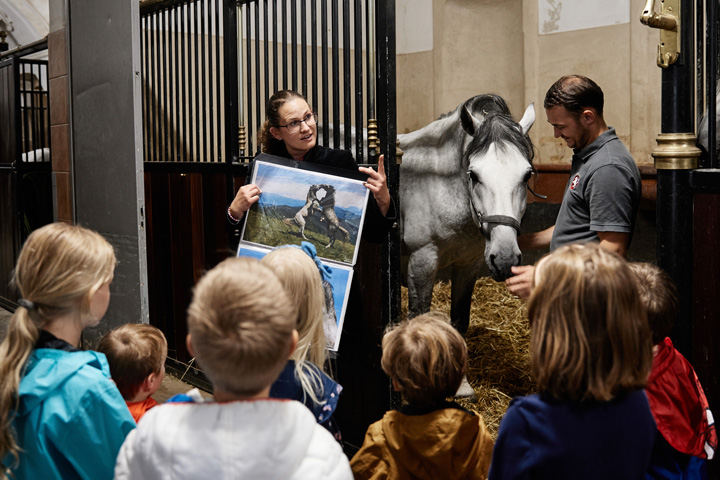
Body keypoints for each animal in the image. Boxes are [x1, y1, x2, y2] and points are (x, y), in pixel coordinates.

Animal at [400, 93, 536, 334]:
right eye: (473, 174)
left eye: (527, 175)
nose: (505, 259)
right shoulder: (421, 262)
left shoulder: (468, 264)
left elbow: (459, 320)